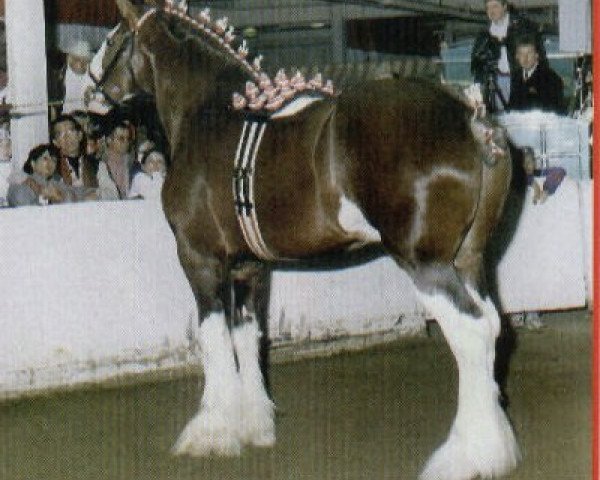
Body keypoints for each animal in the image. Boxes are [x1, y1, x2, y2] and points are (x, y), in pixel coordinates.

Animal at [89, 1, 520, 478]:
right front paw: (254, 423)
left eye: (112, 39)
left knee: (471, 332)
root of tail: (470, 117)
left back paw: (465, 456)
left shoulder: (199, 259)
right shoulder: (249, 266)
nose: (91, 90)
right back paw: (495, 447)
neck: (209, 112)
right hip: (469, 259)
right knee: (492, 325)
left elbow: (212, 337)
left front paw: (210, 431)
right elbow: (247, 336)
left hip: (426, 264)